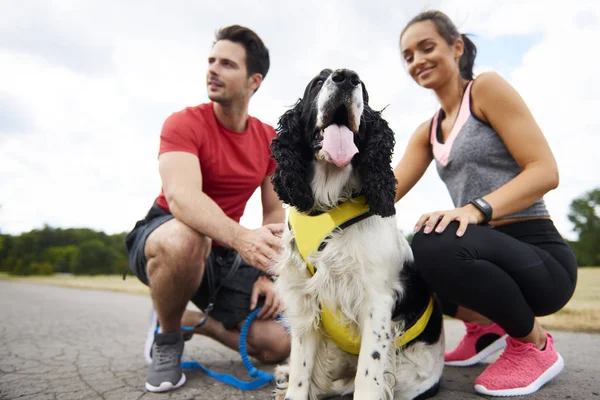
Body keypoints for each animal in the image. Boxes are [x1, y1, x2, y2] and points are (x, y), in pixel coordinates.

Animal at [270, 69, 442, 400]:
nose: (346, 77)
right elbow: (301, 369)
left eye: (361, 86)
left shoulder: (377, 301)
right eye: (318, 82)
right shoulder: (305, 299)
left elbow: (369, 372)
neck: (329, 201)